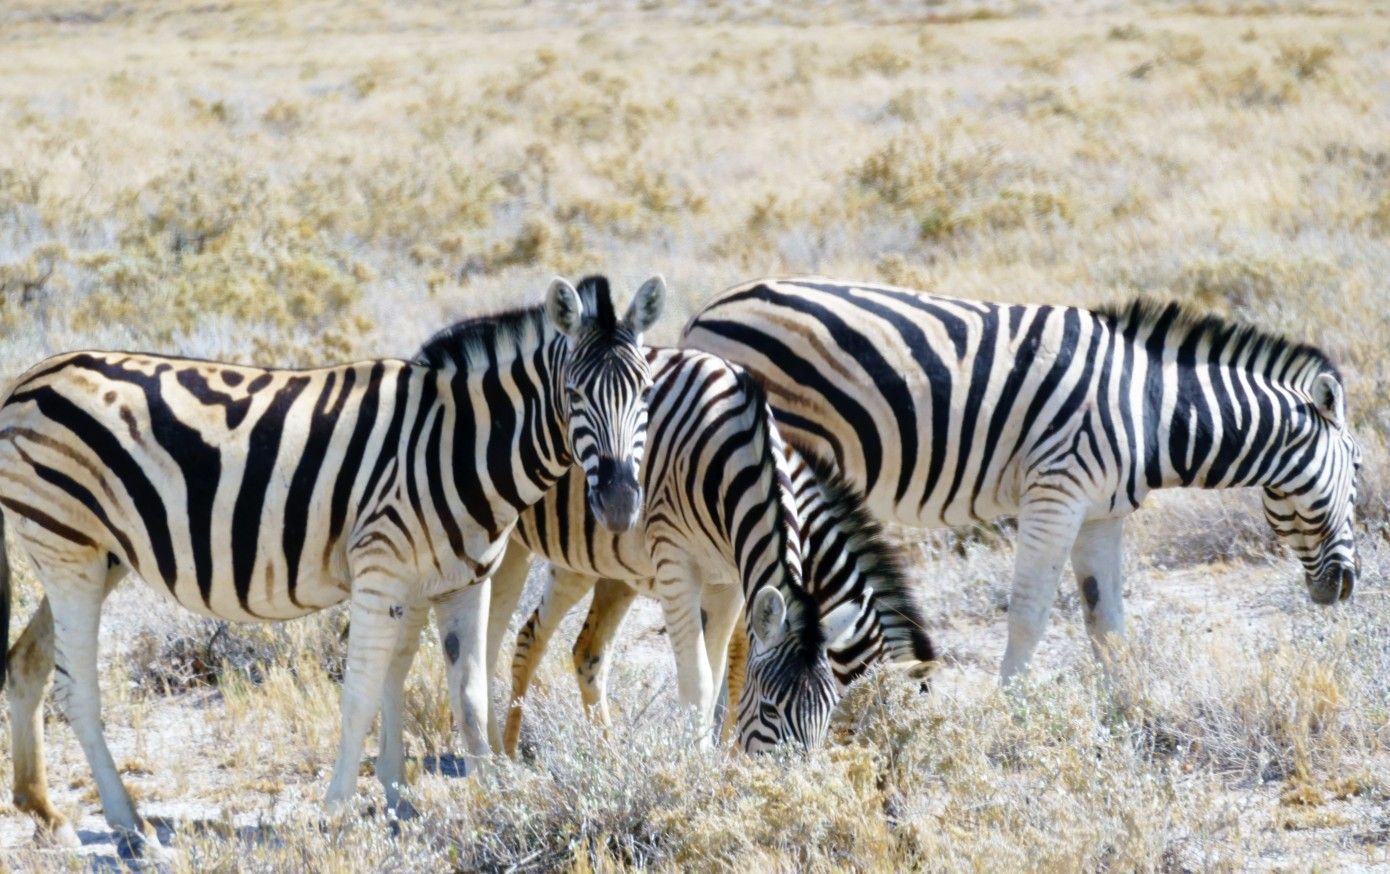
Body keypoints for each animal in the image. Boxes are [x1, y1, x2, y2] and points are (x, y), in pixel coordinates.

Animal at [0, 274, 664, 850]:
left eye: (648, 394)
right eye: (573, 395)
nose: (619, 503)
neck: (458, 445)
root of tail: (27, 378)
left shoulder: (458, 582)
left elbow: (467, 693)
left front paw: (486, 799)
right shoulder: (380, 571)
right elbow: (363, 694)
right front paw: (339, 811)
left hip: (94, 553)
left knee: (26, 664)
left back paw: (49, 814)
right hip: (67, 549)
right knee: (74, 688)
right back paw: (130, 827)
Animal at [496, 438, 937, 755]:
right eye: (876, 730)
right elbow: (737, 668)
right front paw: (729, 752)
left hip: (606, 573)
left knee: (577, 648)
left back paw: (606, 757)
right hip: (551, 557)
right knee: (519, 637)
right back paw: (504, 756)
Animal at [683, 277, 1362, 681]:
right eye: (1358, 472)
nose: (1348, 587)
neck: (1151, 410)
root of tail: (704, 316)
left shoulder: (1101, 512)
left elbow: (1105, 619)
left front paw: (1126, 711)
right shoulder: (1055, 495)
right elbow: (1031, 615)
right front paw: (1010, 714)